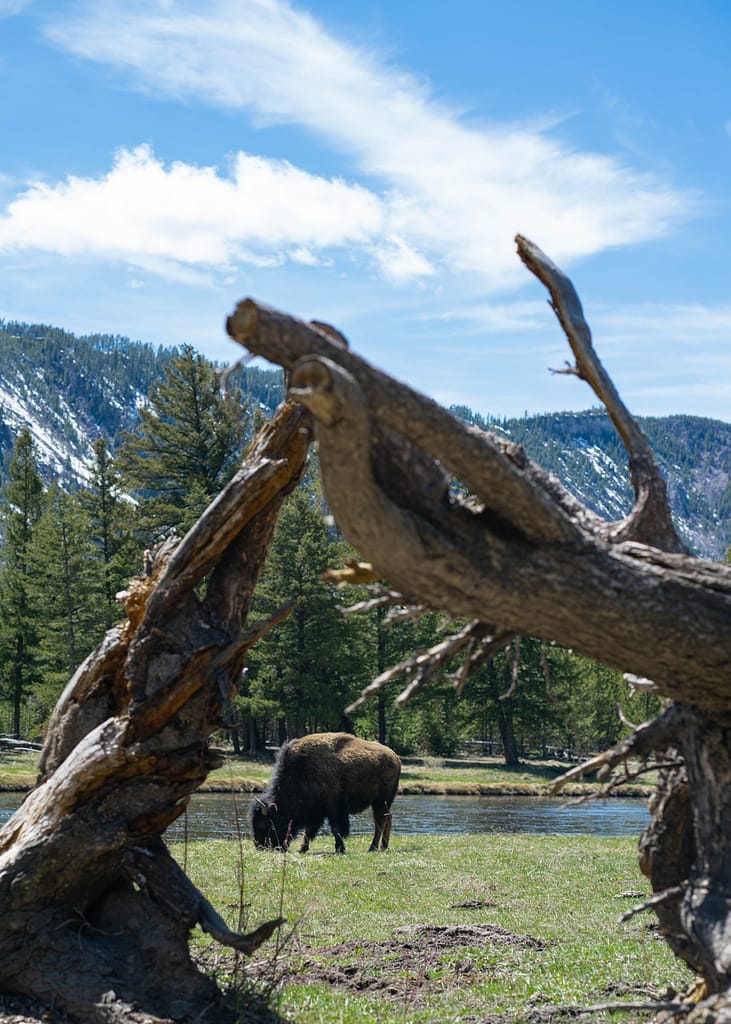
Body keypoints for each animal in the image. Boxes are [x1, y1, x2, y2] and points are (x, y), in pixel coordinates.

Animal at [248, 733, 399, 851]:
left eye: (266, 824)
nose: (260, 847)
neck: (301, 773)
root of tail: (395, 757)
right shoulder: (316, 811)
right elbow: (309, 830)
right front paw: (302, 848)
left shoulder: (333, 808)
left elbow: (335, 829)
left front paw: (339, 849)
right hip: (382, 802)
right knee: (387, 817)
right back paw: (383, 846)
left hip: (381, 800)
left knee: (380, 821)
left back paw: (372, 847)